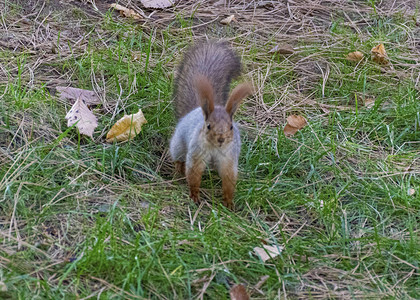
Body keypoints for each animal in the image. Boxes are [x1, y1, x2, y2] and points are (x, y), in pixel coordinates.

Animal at [168, 40, 253, 209]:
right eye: (208, 126)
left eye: (231, 127)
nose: (221, 139)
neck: (215, 149)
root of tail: (194, 111)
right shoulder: (197, 153)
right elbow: (194, 174)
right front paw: (194, 196)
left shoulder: (229, 158)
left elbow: (228, 178)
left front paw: (229, 202)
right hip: (178, 145)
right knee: (179, 157)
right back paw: (178, 169)